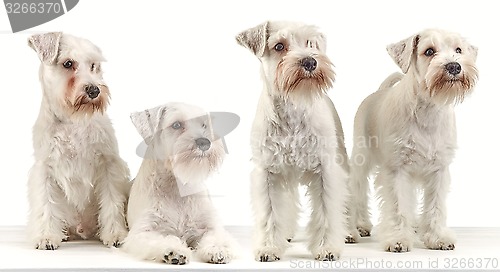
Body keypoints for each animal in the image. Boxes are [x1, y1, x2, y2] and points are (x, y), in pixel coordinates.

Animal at [27, 31, 131, 249]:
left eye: (93, 65)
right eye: (68, 63)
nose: (94, 90)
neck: (72, 120)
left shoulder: (109, 164)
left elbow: (112, 201)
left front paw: (116, 234)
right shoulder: (44, 168)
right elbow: (46, 203)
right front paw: (46, 236)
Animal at [123, 102, 236, 266]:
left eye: (204, 124)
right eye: (176, 125)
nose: (205, 142)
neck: (176, 185)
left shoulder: (209, 226)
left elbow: (215, 236)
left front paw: (218, 250)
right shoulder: (143, 231)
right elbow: (163, 239)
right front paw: (174, 251)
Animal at [236, 21, 350, 262]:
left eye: (310, 43)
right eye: (279, 46)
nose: (310, 61)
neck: (294, 106)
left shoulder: (326, 171)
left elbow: (327, 210)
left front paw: (327, 247)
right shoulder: (267, 173)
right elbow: (270, 213)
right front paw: (269, 247)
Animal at [350, 28, 478, 252]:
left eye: (458, 50)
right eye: (429, 51)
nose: (454, 66)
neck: (428, 110)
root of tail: (378, 92)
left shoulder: (439, 170)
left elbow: (435, 206)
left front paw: (437, 237)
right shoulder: (397, 170)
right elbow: (398, 206)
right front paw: (398, 239)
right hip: (361, 159)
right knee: (358, 191)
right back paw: (358, 226)